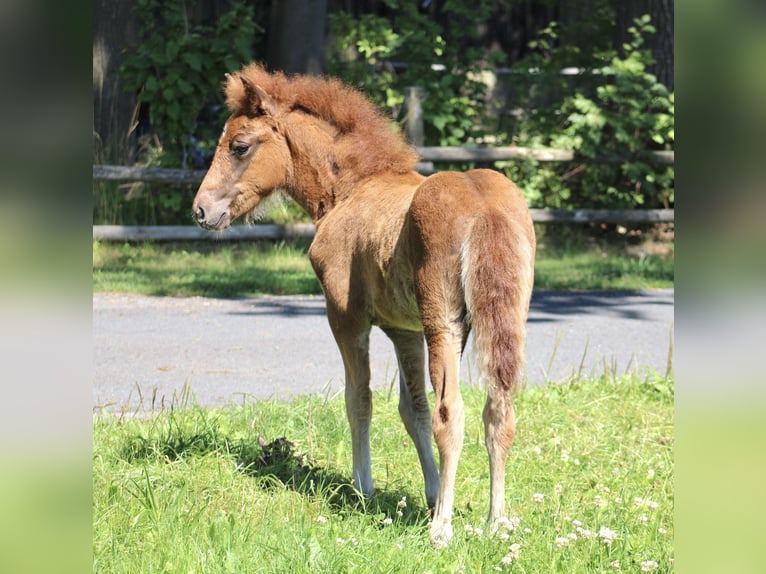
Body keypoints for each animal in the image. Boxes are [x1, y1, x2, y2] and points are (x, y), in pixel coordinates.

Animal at [194, 64, 536, 548]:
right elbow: (412, 409)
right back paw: (497, 521)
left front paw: (363, 488)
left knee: (451, 412)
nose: (201, 210)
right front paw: (431, 492)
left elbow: (360, 399)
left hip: (444, 323)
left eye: (239, 145)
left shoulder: (346, 318)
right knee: (498, 409)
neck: (350, 190)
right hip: (505, 319)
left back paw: (442, 528)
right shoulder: (404, 330)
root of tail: (484, 204)